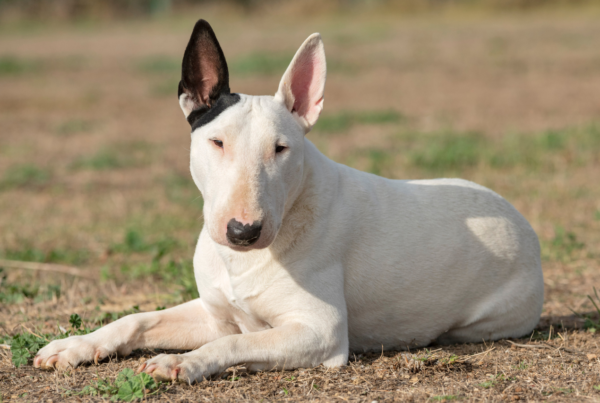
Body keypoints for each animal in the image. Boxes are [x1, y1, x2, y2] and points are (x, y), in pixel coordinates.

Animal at [32, 19, 544, 386]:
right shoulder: (216, 314)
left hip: (487, 319)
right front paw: (74, 346)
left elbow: (236, 346)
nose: (243, 232)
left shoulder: (320, 331)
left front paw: (185, 363)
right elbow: (138, 319)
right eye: (216, 142)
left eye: (281, 149)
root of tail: (521, 220)